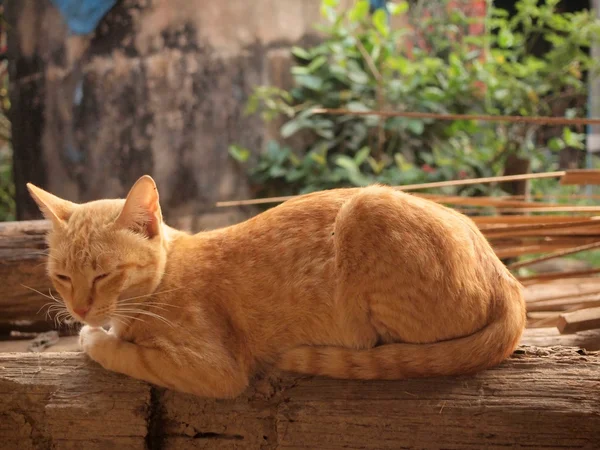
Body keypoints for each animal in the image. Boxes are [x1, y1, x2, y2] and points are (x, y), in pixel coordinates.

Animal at [28, 176, 524, 398]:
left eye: (104, 274)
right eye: (63, 277)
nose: (80, 310)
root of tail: (508, 278)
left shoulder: (212, 369)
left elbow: (122, 352)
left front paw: (95, 338)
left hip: (367, 207)